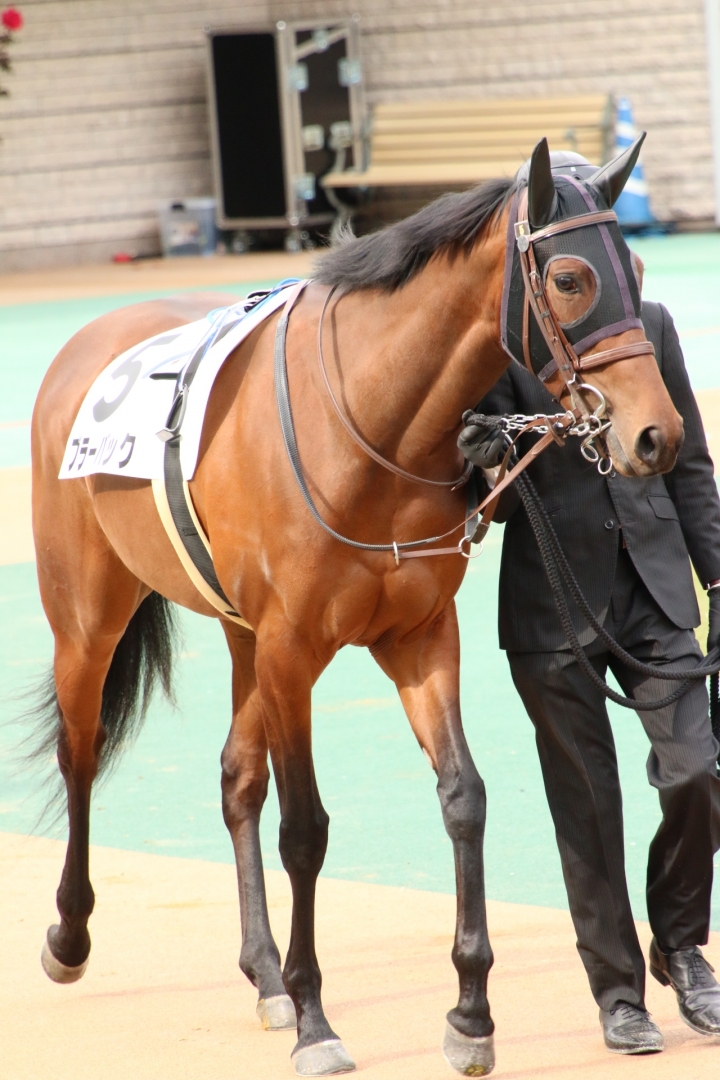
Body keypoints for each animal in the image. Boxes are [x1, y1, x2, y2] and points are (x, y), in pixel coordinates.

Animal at [28, 139, 683, 1077]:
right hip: (88, 616)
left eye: (637, 267)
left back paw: (263, 973)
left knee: (235, 778)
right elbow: (305, 830)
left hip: (242, 637)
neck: (373, 423)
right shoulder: (293, 650)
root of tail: (87, 342)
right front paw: (316, 1020)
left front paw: (470, 1014)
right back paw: (72, 936)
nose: (657, 435)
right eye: (568, 278)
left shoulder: (417, 638)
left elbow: (464, 797)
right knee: (80, 755)